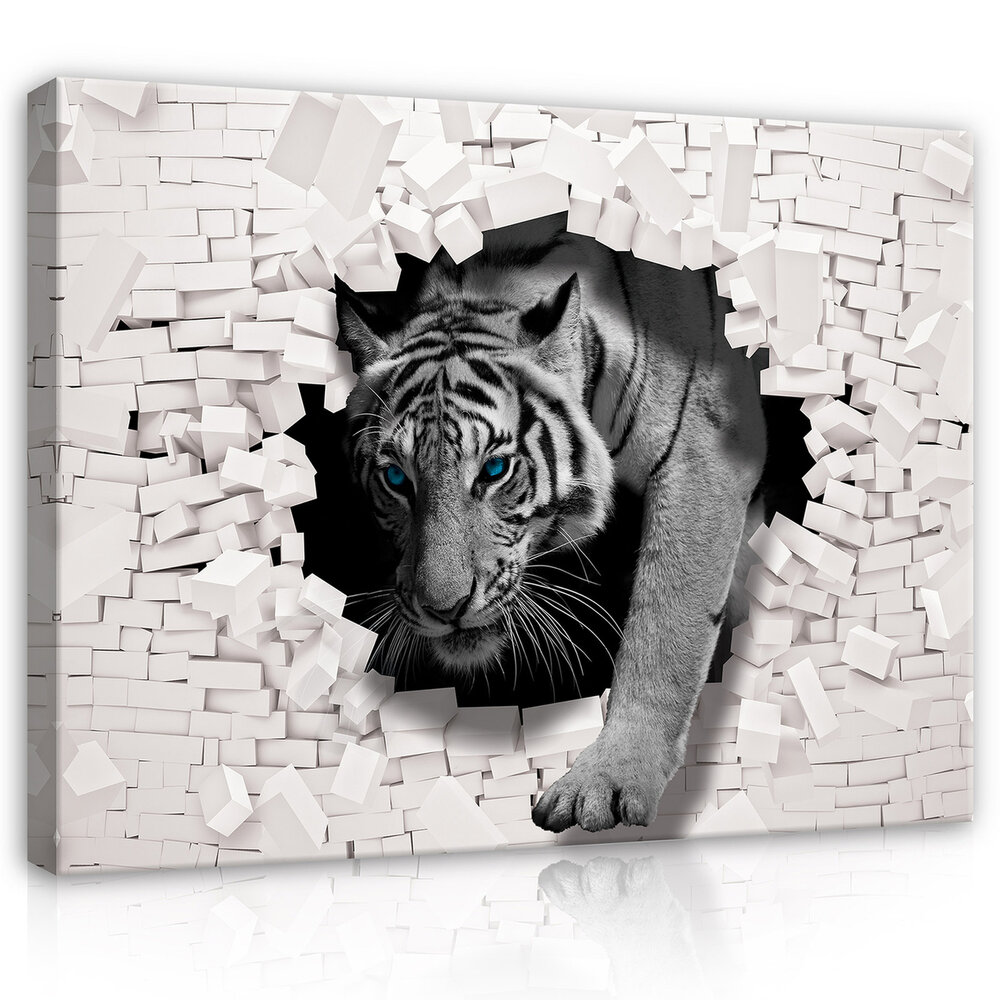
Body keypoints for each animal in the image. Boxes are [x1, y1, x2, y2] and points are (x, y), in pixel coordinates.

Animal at [335, 212, 767, 834]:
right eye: (396, 479)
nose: (443, 610)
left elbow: (666, 627)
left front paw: (610, 780)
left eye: (494, 470)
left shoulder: (706, 449)